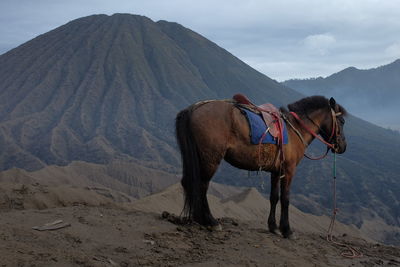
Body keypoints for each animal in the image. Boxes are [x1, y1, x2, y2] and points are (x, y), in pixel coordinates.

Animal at [176, 95, 346, 240]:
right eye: (342, 121)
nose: (343, 146)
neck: (295, 130)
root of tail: (194, 108)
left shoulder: (276, 171)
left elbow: (274, 197)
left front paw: (273, 227)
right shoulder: (289, 170)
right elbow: (285, 199)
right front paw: (287, 230)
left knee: (190, 183)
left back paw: (199, 218)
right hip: (210, 159)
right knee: (202, 185)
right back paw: (210, 221)